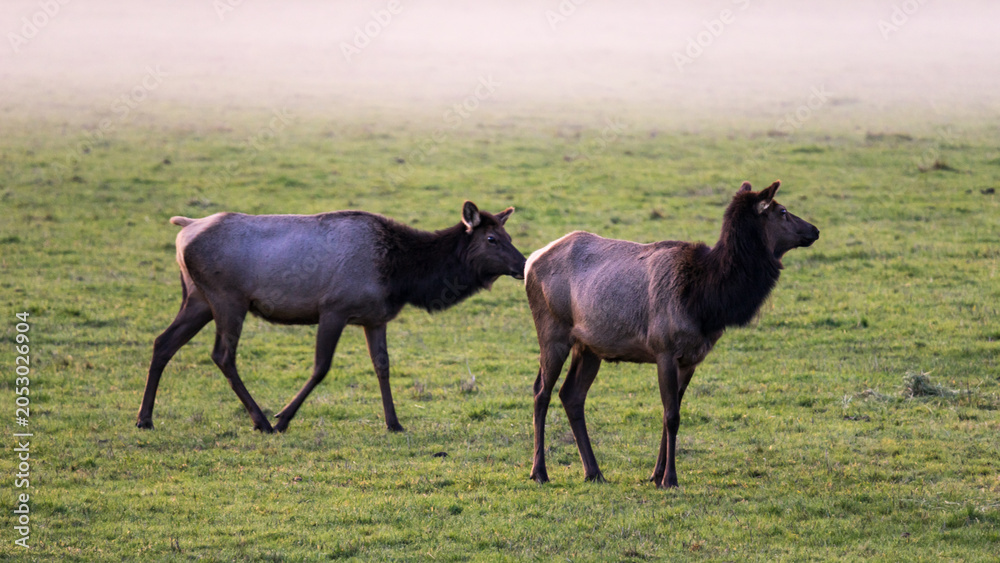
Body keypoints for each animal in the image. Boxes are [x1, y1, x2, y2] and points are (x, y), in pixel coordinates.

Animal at [136, 201, 526, 433]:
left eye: (508, 234)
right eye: (492, 238)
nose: (523, 264)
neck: (401, 276)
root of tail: (185, 228)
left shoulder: (376, 317)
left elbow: (382, 366)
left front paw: (394, 423)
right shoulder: (333, 308)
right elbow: (321, 367)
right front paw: (283, 417)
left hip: (198, 298)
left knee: (162, 343)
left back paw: (145, 418)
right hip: (227, 297)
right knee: (222, 355)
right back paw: (261, 420)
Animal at [524, 181, 819, 488]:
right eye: (782, 211)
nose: (815, 230)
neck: (705, 302)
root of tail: (530, 261)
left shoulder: (691, 358)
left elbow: (672, 413)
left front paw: (656, 474)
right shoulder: (663, 348)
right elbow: (671, 416)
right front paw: (670, 478)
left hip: (590, 346)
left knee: (571, 395)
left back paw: (593, 472)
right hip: (552, 331)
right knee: (541, 392)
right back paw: (539, 471)